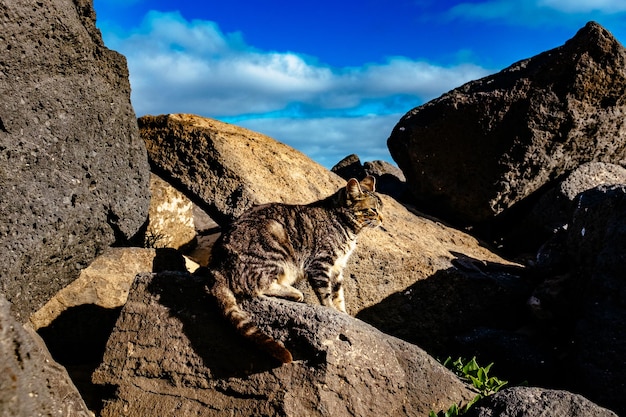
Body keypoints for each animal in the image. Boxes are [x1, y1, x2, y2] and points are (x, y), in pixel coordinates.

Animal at [204, 177, 380, 362]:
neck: (347, 227)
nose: (382, 219)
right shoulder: (321, 263)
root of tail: (215, 264)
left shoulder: (338, 267)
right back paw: (294, 292)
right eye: (373, 210)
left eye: (380, 208)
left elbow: (339, 294)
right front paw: (331, 309)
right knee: (258, 286)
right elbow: (326, 294)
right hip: (274, 246)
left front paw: (343, 312)